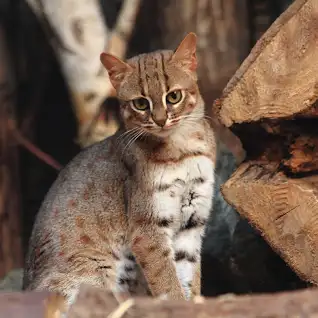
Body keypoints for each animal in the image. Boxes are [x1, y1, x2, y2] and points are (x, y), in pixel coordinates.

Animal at [24, 33, 216, 310]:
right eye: (140, 103)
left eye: (173, 97)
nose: (160, 121)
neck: (182, 149)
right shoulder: (147, 229)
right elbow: (168, 282)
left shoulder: (192, 221)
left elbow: (187, 277)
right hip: (94, 270)